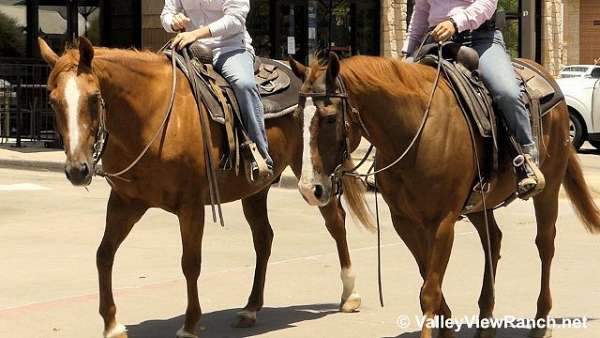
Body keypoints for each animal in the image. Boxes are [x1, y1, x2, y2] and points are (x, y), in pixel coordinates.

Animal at [38, 37, 370, 338]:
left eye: (94, 98)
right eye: (52, 101)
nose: (78, 170)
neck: (153, 115)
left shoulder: (191, 206)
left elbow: (190, 263)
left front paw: (190, 325)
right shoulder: (125, 202)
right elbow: (104, 255)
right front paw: (112, 324)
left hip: (314, 174)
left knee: (335, 221)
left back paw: (350, 294)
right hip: (255, 189)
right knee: (264, 238)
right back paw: (250, 308)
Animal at [290, 53, 600, 338]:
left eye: (330, 118)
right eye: (295, 117)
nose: (309, 188)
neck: (414, 133)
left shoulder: (443, 222)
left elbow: (429, 290)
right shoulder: (405, 222)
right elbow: (428, 280)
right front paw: (447, 328)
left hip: (549, 186)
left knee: (545, 244)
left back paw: (541, 322)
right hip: (479, 203)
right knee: (493, 240)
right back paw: (486, 321)